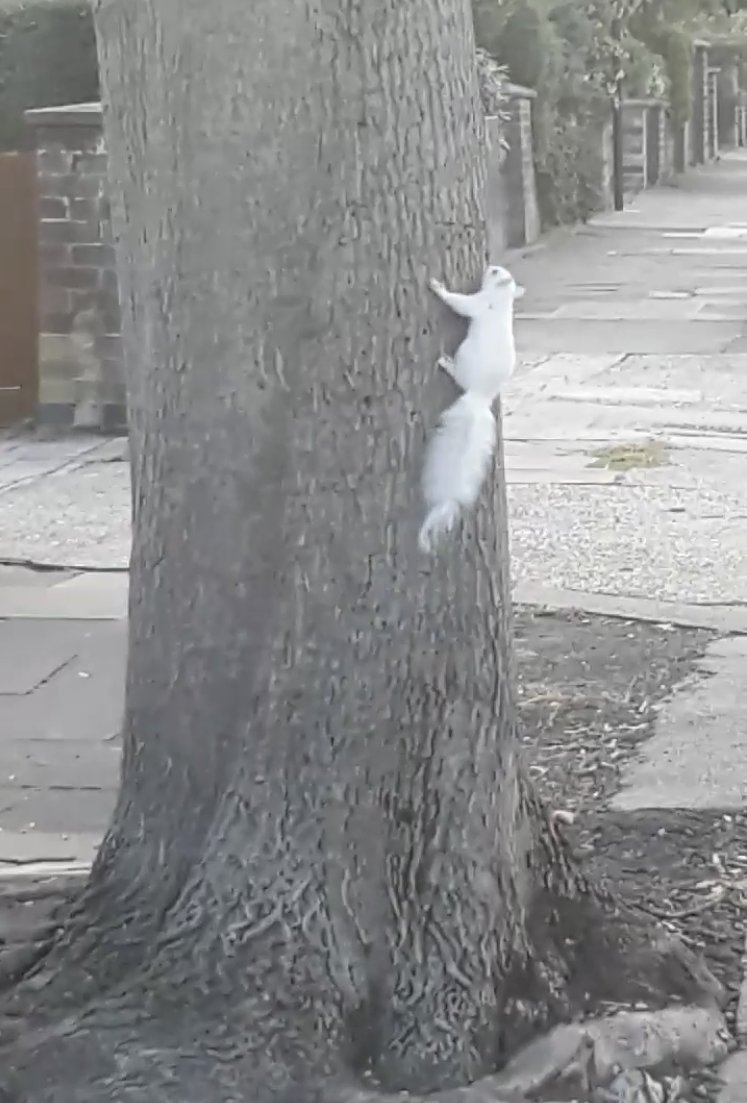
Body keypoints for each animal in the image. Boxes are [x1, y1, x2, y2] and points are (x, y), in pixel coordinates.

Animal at [418, 265, 524, 554]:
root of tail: (479, 397)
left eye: (496, 272)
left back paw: (446, 364)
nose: (489, 267)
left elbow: (459, 303)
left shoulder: (477, 304)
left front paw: (438, 287)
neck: (502, 300)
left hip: (465, 360)